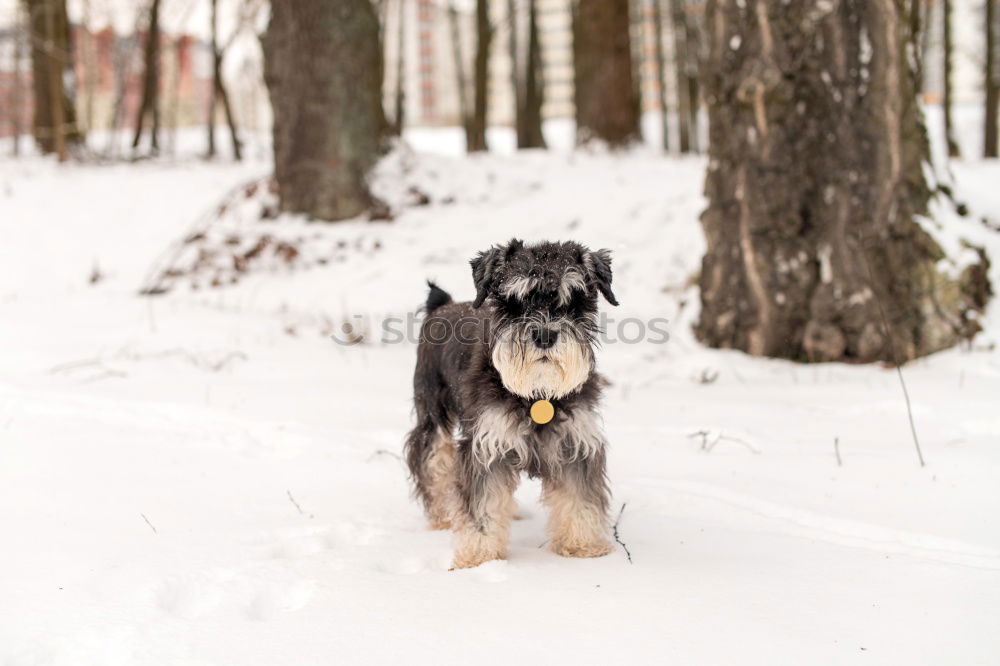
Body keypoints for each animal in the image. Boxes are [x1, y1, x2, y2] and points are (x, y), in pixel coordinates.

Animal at [404, 237, 616, 564]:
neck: (538, 395)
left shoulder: (575, 444)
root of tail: (443, 305)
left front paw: (582, 544)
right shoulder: (484, 446)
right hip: (431, 415)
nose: (544, 335)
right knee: (433, 462)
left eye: (573, 301)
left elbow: (580, 497)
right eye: (516, 301)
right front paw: (478, 555)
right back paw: (443, 516)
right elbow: (481, 504)